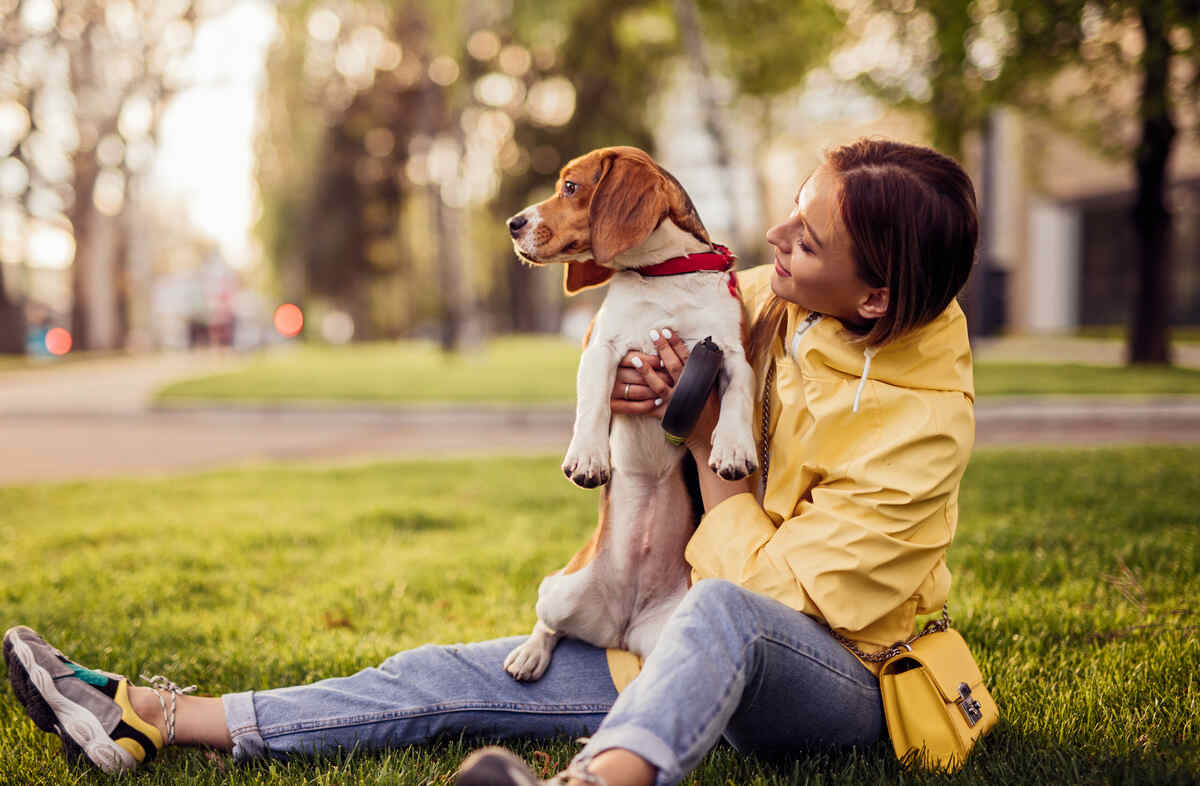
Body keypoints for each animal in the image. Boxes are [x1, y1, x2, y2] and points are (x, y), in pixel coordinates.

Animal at [501, 147, 753, 681]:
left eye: (571, 187)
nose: (513, 223)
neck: (664, 276)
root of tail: (619, 625)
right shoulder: (600, 348)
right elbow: (593, 404)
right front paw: (588, 458)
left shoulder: (730, 352)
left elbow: (738, 398)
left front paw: (732, 448)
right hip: (560, 590)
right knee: (547, 623)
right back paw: (530, 655)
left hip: (668, 629)